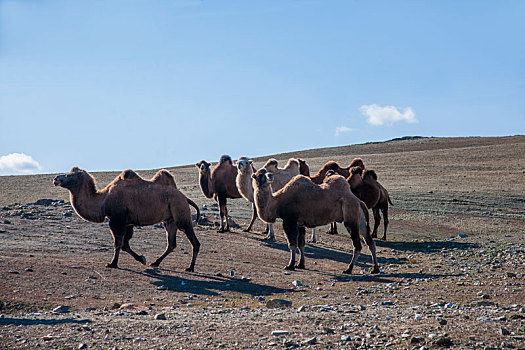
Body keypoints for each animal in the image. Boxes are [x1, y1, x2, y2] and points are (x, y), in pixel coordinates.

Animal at [52, 167, 201, 270]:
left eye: (68, 175)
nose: (56, 178)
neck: (103, 200)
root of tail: (185, 198)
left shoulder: (116, 220)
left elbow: (118, 243)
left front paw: (112, 263)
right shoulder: (128, 223)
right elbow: (125, 245)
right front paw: (142, 258)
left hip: (181, 213)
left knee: (194, 241)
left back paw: (190, 267)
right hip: (170, 220)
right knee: (171, 243)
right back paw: (156, 262)